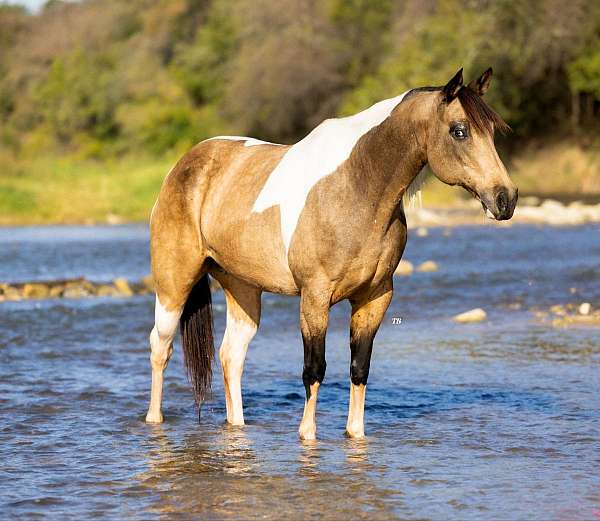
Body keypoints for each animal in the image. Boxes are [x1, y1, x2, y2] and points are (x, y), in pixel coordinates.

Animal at [144, 67, 516, 436]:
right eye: (459, 131)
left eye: (492, 131)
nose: (506, 199)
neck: (355, 187)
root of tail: (185, 165)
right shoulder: (315, 297)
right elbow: (314, 369)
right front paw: (307, 435)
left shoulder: (375, 297)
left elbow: (359, 368)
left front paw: (355, 434)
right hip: (174, 286)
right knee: (161, 347)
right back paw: (154, 419)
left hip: (242, 288)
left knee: (231, 356)